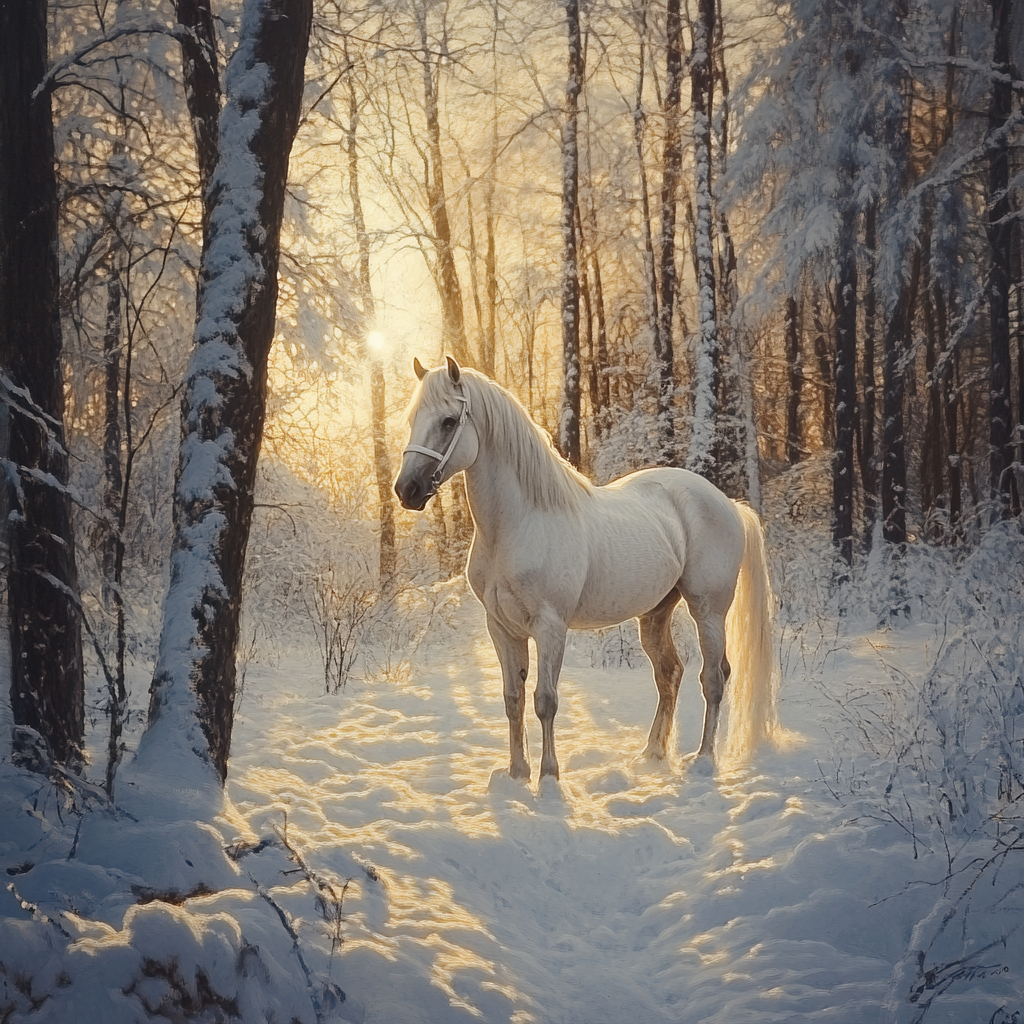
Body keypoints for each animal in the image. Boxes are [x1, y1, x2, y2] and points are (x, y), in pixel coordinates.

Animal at [391, 356, 774, 778]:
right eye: (413, 418)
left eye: (447, 421)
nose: (407, 490)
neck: (520, 523)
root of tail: (729, 504)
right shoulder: (502, 628)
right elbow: (512, 699)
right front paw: (517, 774)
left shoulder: (550, 627)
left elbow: (545, 701)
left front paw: (549, 776)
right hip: (656, 612)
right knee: (669, 674)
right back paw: (652, 755)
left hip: (708, 610)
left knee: (714, 678)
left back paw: (704, 759)